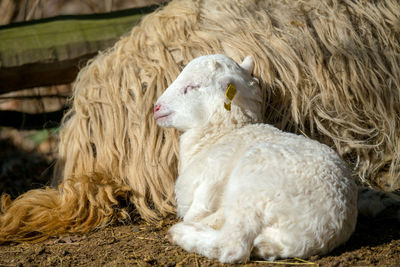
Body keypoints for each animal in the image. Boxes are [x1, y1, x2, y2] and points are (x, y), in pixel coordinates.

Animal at [155, 54, 358, 264]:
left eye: (192, 86)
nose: (156, 107)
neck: (224, 132)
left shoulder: (210, 179)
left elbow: (195, 212)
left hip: (252, 187)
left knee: (234, 245)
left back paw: (183, 233)